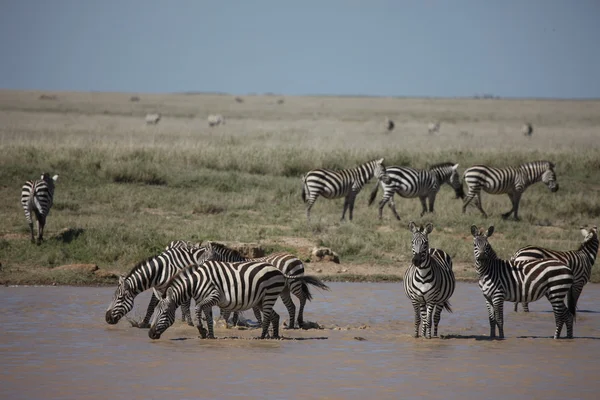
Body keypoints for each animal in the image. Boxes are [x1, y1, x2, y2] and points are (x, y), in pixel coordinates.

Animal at [148, 260, 330, 340]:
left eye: (164, 312)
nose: (150, 334)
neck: (196, 283)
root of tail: (279, 270)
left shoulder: (213, 296)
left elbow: (198, 309)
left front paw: (201, 330)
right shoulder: (207, 301)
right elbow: (207, 317)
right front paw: (209, 336)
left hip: (269, 295)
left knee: (268, 317)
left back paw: (262, 337)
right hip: (262, 299)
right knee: (275, 316)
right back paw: (274, 336)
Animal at [200, 241, 328, 328]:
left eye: (206, 257)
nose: (201, 269)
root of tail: (294, 256)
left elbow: (251, 310)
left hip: (294, 284)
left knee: (302, 298)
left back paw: (300, 321)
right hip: (285, 289)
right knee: (291, 306)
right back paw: (290, 326)